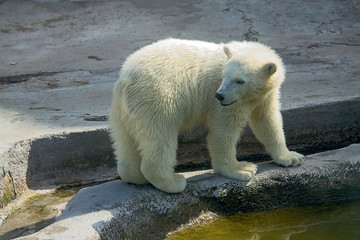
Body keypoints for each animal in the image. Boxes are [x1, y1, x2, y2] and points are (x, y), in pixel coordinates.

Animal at [109, 39, 304, 193]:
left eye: (239, 81)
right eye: (224, 76)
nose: (220, 95)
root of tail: (126, 81)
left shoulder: (264, 96)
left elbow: (268, 122)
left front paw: (291, 158)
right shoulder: (226, 103)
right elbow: (223, 131)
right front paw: (242, 169)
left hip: (122, 110)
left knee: (125, 139)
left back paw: (135, 176)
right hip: (158, 98)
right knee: (161, 137)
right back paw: (173, 182)